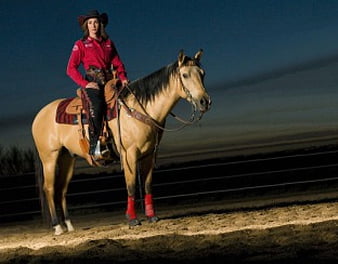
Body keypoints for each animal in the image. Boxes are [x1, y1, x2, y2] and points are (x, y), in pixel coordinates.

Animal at [31, 50, 211, 235]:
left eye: (202, 73)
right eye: (185, 75)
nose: (205, 101)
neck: (138, 108)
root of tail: (39, 116)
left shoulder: (149, 154)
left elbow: (147, 185)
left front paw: (151, 216)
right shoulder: (129, 154)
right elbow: (131, 186)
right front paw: (131, 219)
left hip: (67, 158)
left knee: (61, 190)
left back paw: (69, 225)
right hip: (49, 158)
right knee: (49, 188)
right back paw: (57, 226)